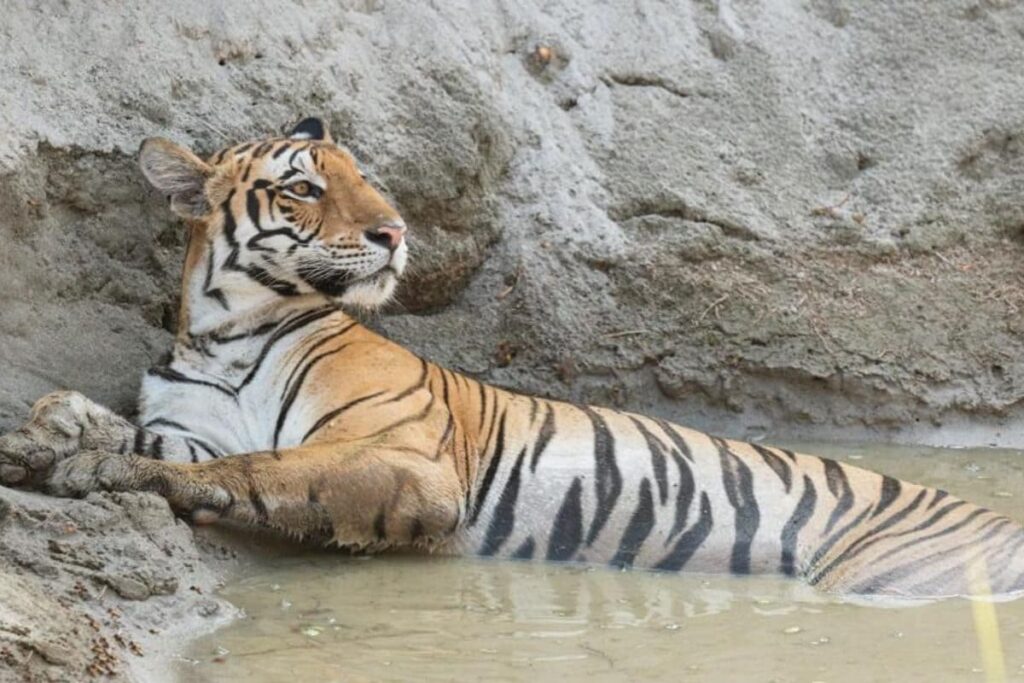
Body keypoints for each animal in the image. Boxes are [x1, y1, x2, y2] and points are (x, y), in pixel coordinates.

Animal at [0, 117, 1021, 598]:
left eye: (368, 179)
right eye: (305, 189)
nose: (395, 231)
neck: (230, 329)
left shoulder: (406, 461)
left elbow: (267, 468)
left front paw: (86, 462)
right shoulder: (196, 425)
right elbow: (160, 440)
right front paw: (52, 429)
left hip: (890, 574)